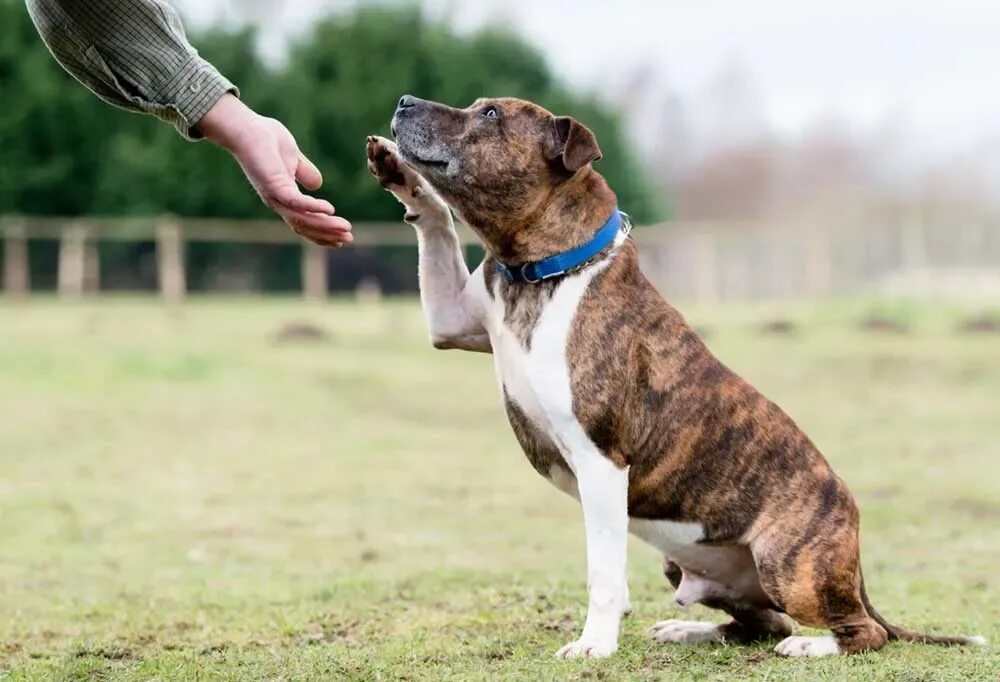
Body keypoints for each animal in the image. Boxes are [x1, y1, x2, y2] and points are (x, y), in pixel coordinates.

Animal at [364, 95, 980, 660]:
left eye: (490, 114)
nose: (405, 101)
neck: (543, 271)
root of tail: (851, 536)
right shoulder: (452, 321)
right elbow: (439, 224)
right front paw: (401, 173)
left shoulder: (601, 461)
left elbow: (604, 572)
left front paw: (594, 645)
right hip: (692, 564)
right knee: (761, 624)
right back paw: (691, 629)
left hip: (789, 563)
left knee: (862, 633)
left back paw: (811, 645)